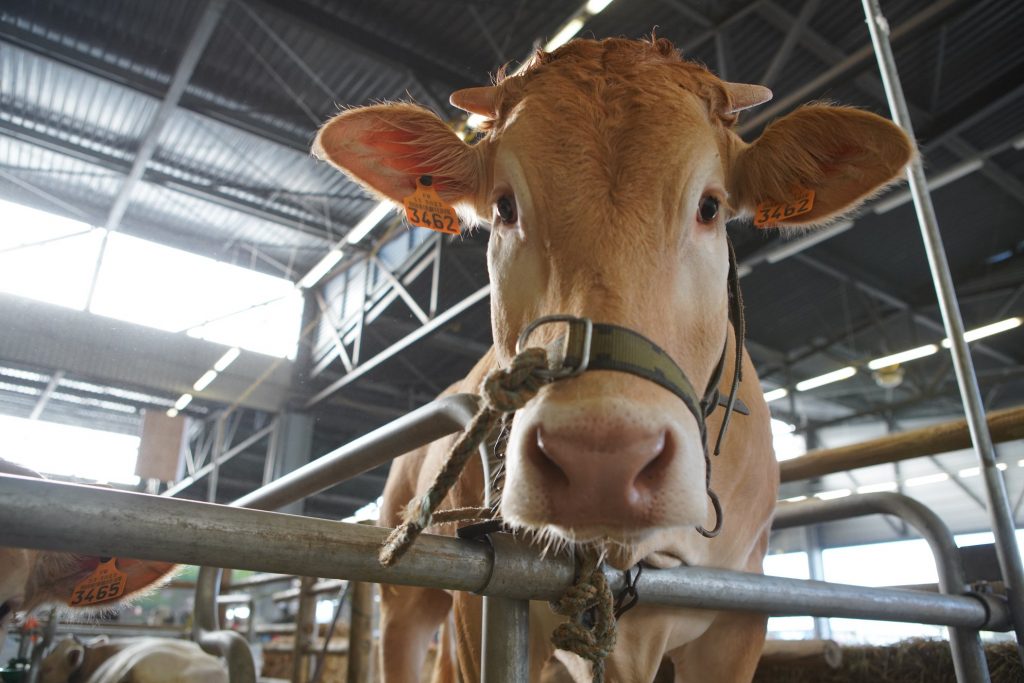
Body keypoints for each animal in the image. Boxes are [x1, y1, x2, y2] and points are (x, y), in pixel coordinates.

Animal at [311, 38, 913, 683]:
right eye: (504, 207)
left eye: (709, 207)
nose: (600, 457)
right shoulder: (482, 610)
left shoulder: (739, 619)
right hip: (407, 598)